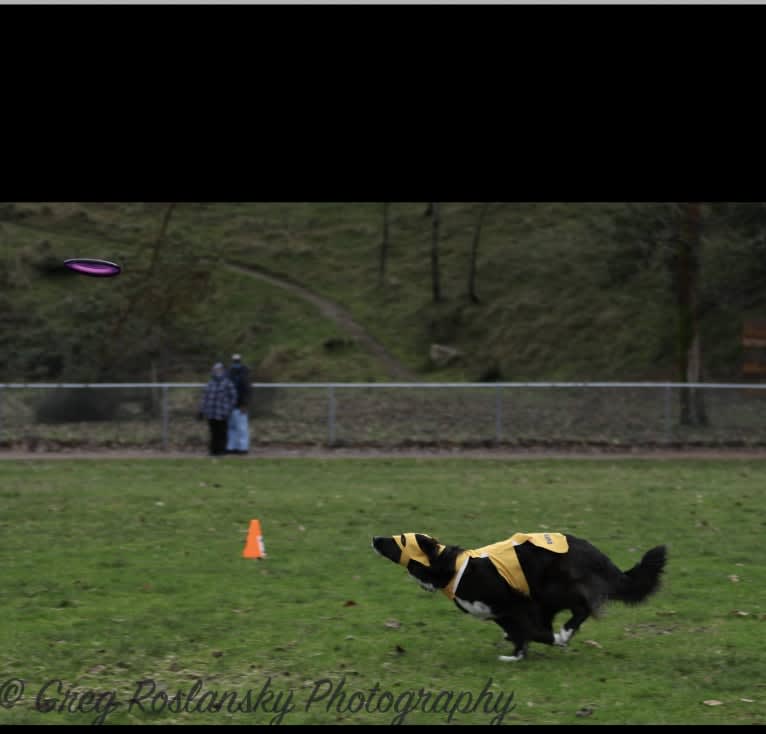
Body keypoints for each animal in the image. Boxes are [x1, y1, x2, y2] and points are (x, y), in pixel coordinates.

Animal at [372, 532, 664, 664]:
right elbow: (521, 632)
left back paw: (564, 634)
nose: (375, 538)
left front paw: (544, 643)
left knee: (582, 609)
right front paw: (517, 653)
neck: (451, 567)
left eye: (400, 540)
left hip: (551, 588)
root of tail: (596, 553)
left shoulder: (519, 603)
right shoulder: (500, 612)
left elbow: (533, 631)